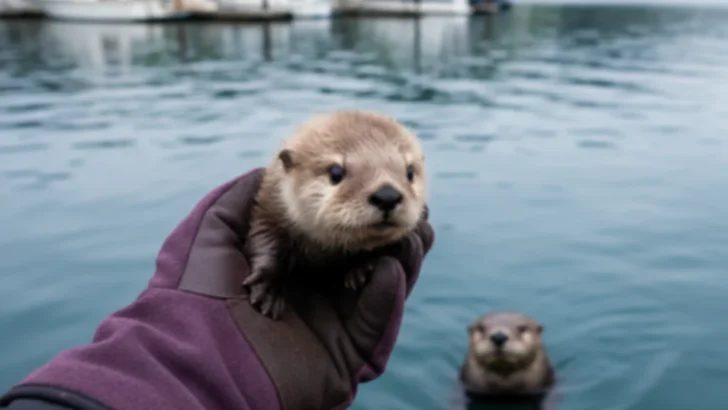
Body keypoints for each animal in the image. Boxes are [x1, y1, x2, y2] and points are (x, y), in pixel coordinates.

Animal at [242, 110, 428, 319]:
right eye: (335, 172)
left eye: (409, 172)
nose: (387, 196)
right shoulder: (270, 207)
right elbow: (265, 240)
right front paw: (267, 289)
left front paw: (360, 267)